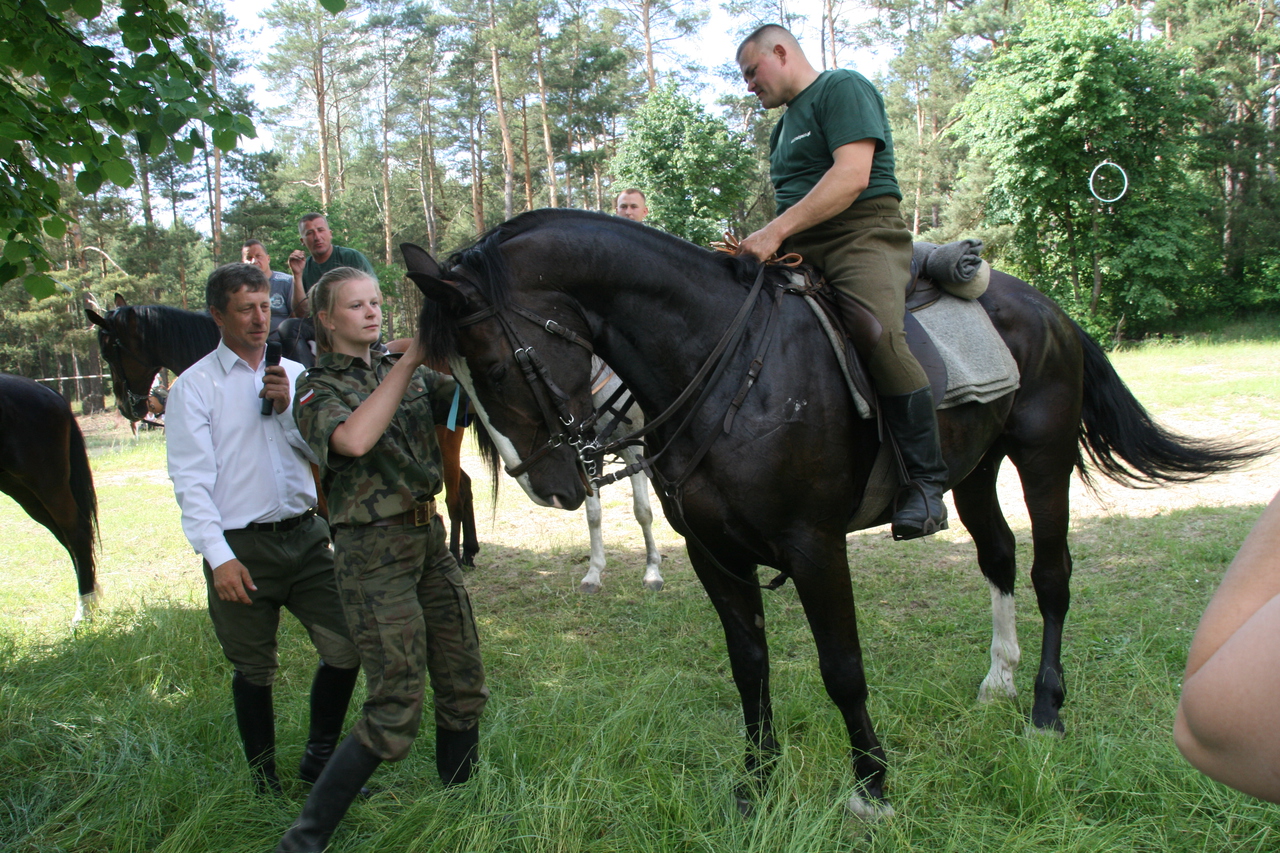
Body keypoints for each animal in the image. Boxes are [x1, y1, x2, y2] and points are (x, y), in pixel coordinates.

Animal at [0, 376, 99, 622]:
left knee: (76, 532)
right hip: (20, 488)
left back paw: (84, 608)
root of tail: (47, 390)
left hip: (45, 482)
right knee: (65, 536)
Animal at [404, 207, 1264, 819]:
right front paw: (757, 781)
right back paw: (998, 678)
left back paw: (1047, 709)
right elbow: (748, 665)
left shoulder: (816, 547)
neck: (725, 366)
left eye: (491, 365)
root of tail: (1045, 306)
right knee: (999, 558)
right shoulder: (713, 555)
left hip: (1042, 461)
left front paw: (873, 787)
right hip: (975, 472)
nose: (546, 486)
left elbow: (842, 668)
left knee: (1053, 575)